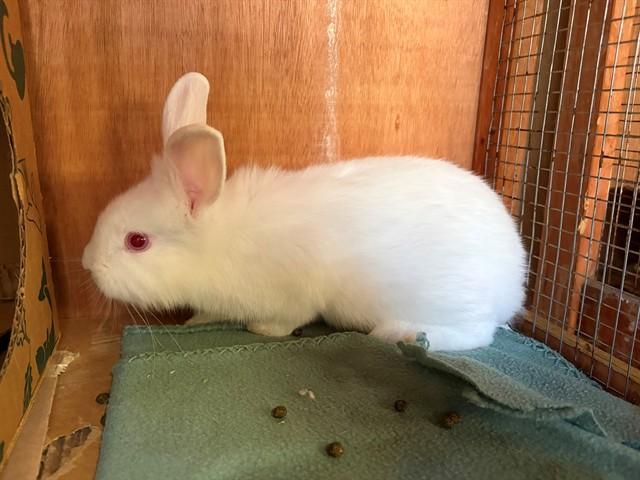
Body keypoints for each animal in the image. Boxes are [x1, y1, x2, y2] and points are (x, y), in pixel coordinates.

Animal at [82, 72, 526, 352]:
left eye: (137, 241)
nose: (87, 263)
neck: (219, 242)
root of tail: (515, 280)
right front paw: (196, 320)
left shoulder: (291, 296)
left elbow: (287, 319)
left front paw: (260, 329)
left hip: (450, 302)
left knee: (479, 333)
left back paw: (399, 334)